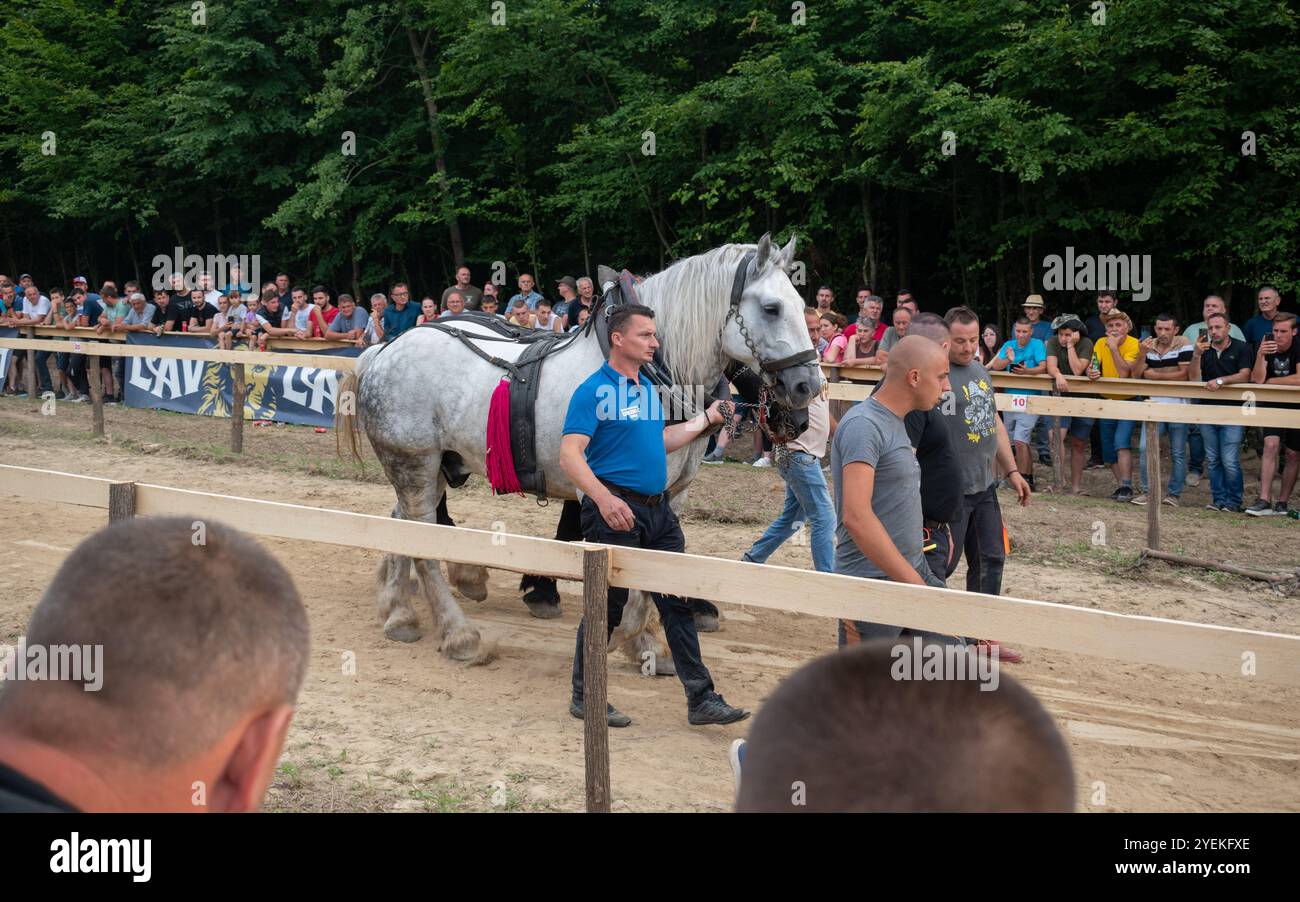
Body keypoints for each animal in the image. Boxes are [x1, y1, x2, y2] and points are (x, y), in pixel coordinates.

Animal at [340, 236, 816, 665]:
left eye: (799, 304)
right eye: (772, 309)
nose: (807, 387)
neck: (648, 374)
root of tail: (385, 349)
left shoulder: (670, 494)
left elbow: (658, 563)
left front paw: (646, 643)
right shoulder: (604, 492)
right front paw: (625, 634)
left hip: (434, 465)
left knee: (403, 525)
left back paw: (399, 612)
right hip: (414, 462)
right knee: (424, 542)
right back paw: (459, 635)